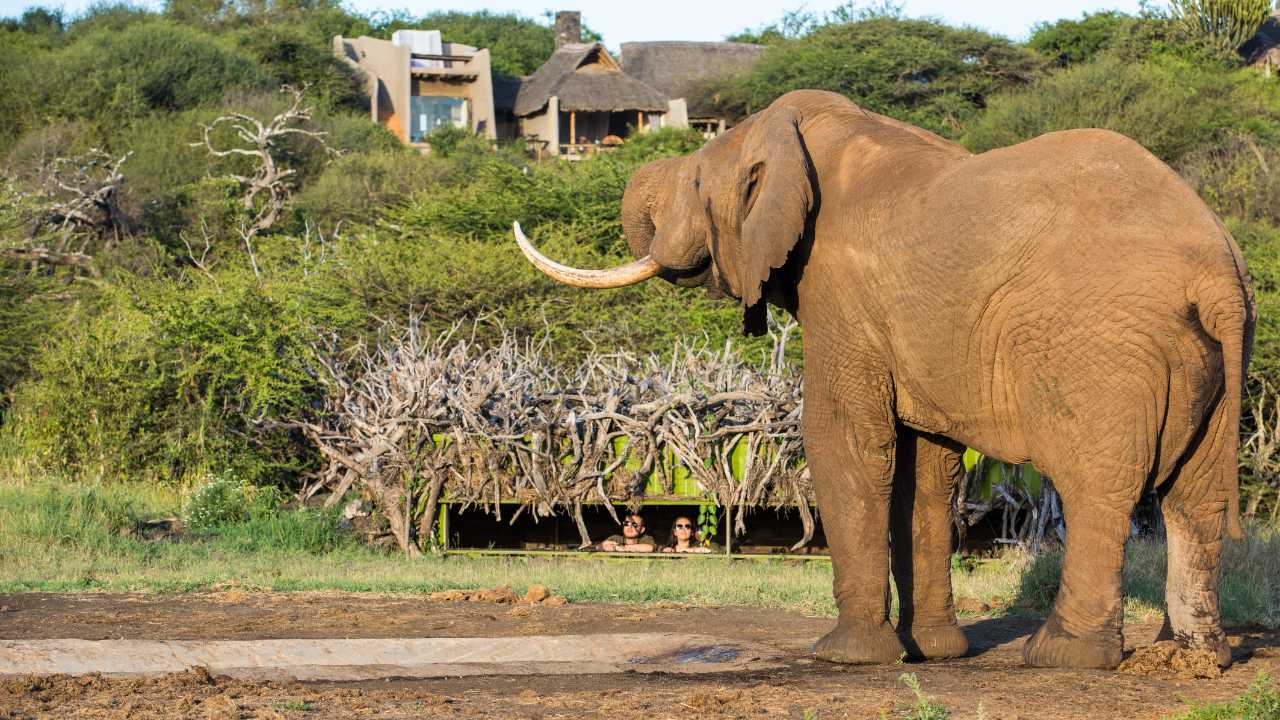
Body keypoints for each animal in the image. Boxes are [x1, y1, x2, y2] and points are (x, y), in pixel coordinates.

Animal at [513, 90, 1255, 670]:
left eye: (696, 186)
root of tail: (1216, 269)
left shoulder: (839, 291)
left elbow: (844, 442)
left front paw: (845, 657)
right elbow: (925, 470)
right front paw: (933, 653)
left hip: (1098, 350)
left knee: (1096, 488)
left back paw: (1061, 656)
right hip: (1213, 355)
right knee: (1197, 496)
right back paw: (1191, 658)